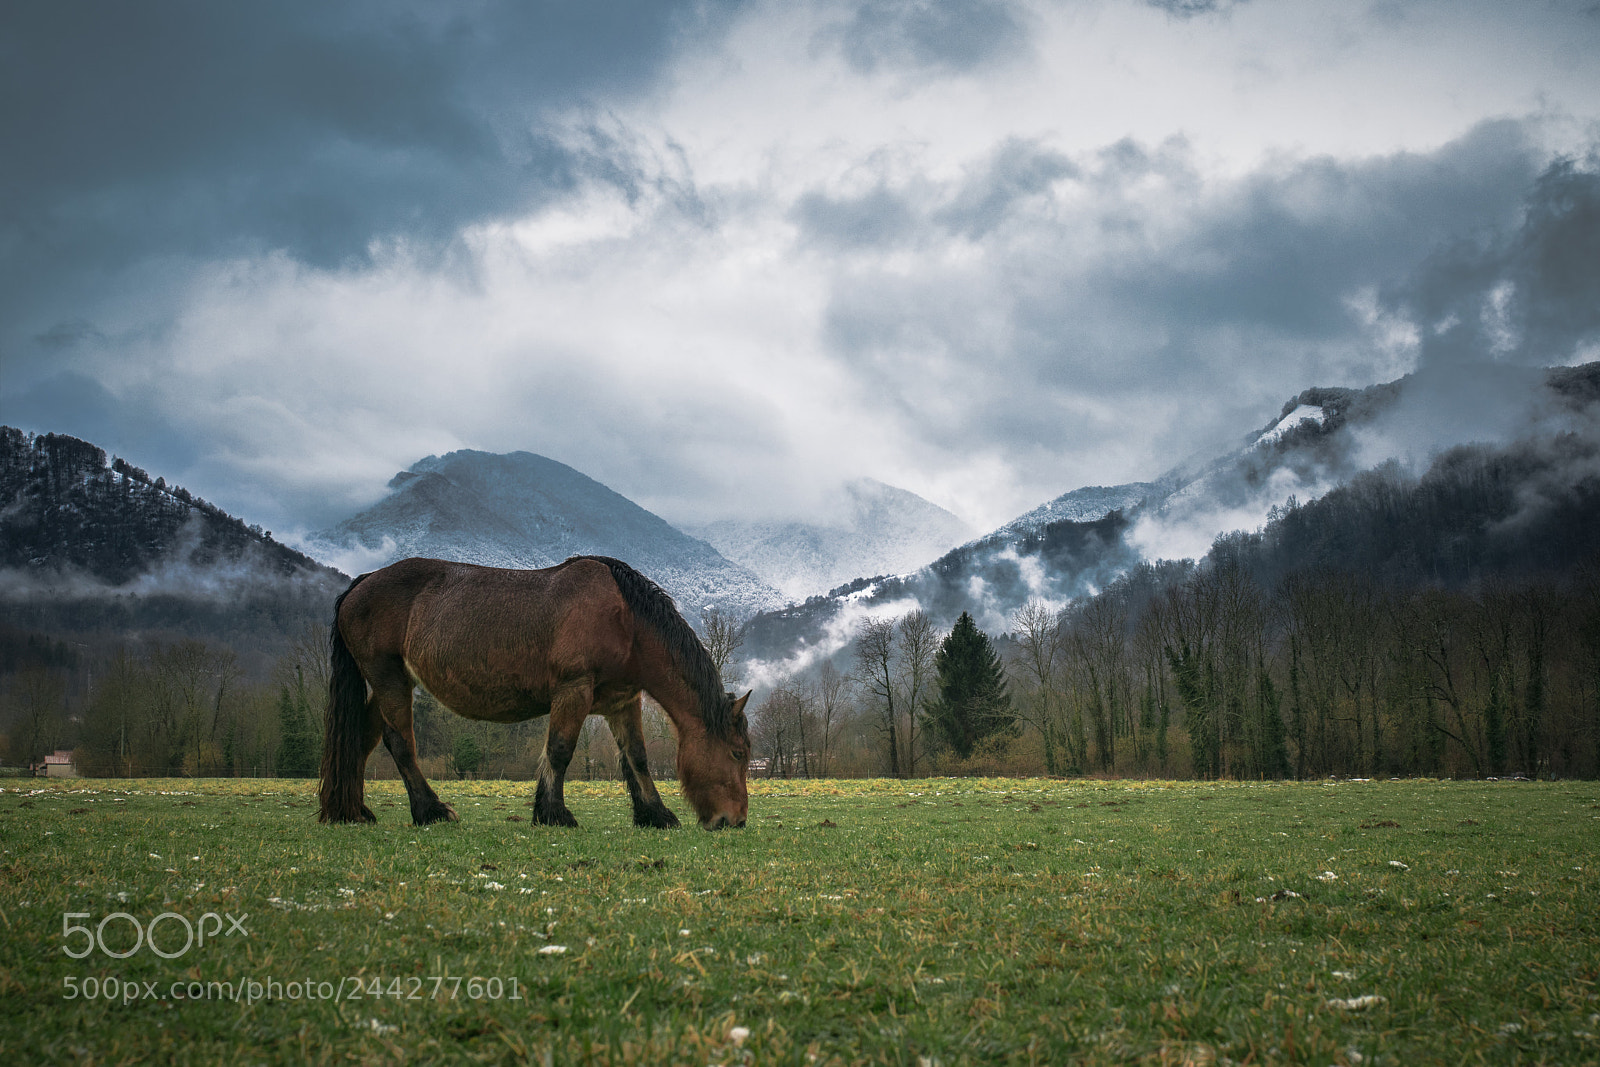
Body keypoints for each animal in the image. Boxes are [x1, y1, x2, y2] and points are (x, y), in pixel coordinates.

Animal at [317, 555, 751, 831]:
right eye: (737, 753)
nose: (736, 821)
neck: (627, 620)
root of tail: (362, 583)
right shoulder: (574, 690)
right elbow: (560, 751)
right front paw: (554, 814)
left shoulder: (623, 701)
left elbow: (638, 759)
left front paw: (655, 815)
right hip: (389, 678)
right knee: (400, 743)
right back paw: (431, 811)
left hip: (389, 683)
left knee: (360, 740)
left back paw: (353, 811)